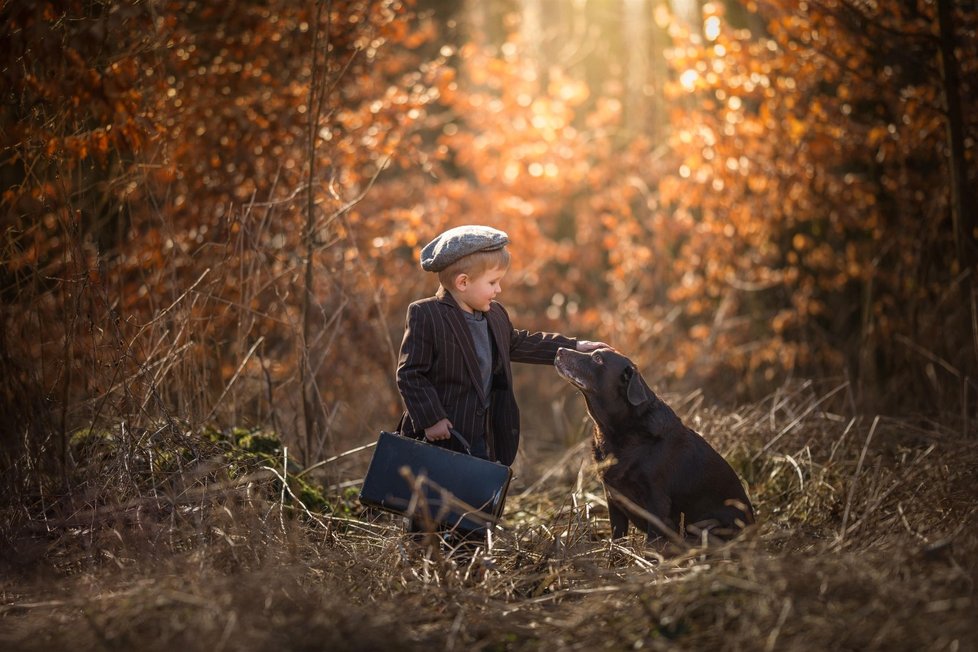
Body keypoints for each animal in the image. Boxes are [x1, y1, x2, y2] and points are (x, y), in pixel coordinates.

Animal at [552, 348, 752, 544]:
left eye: (598, 358)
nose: (559, 350)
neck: (619, 430)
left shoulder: (656, 500)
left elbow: (651, 540)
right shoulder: (613, 497)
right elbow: (617, 535)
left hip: (709, 525)